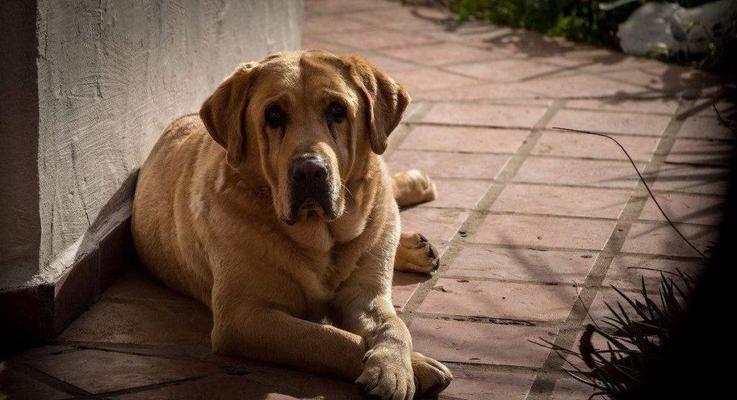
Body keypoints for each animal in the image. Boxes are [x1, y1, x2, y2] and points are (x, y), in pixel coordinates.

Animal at [134, 50, 454, 400]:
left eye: (337, 110)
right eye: (273, 115)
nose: (310, 171)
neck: (321, 239)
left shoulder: (366, 295)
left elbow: (394, 326)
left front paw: (394, 366)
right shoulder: (244, 317)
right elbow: (327, 338)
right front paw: (415, 366)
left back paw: (415, 196)